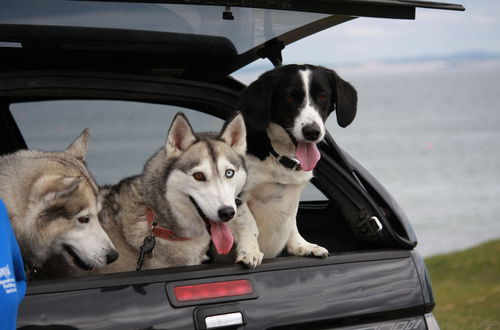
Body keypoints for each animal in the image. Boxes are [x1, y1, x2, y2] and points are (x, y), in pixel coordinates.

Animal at [229, 64, 358, 268]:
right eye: (290, 97)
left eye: (323, 96)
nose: (312, 132)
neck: (277, 154)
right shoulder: (236, 195)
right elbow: (249, 224)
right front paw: (250, 252)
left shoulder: (293, 197)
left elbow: (291, 222)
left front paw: (301, 246)